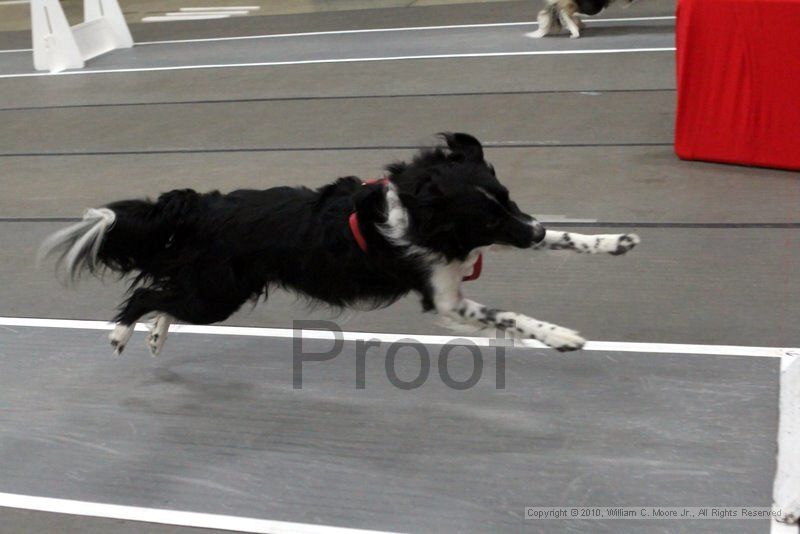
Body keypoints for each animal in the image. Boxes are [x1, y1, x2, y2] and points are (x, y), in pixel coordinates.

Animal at [37, 133, 640, 358]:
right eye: (484, 216)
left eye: (508, 198)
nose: (528, 229)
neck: (421, 209)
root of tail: (204, 205)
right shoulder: (446, 298)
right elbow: (511, 315)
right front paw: (561, 336)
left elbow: (565, 237)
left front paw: (614, 240)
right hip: (217, 294)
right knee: (147, 294)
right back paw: (121, 332)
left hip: (213, 292)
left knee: (164, 292)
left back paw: (156, 333)